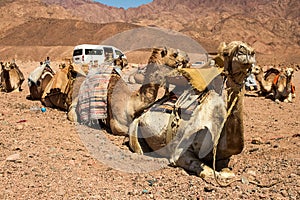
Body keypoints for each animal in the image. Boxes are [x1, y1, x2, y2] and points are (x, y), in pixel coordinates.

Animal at [129, 40, 255, 177]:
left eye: (253, 52)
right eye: (226, 53)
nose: (245, 52)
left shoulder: (223, 158)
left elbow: (224, 169)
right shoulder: (180, 153)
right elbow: (209, 172)